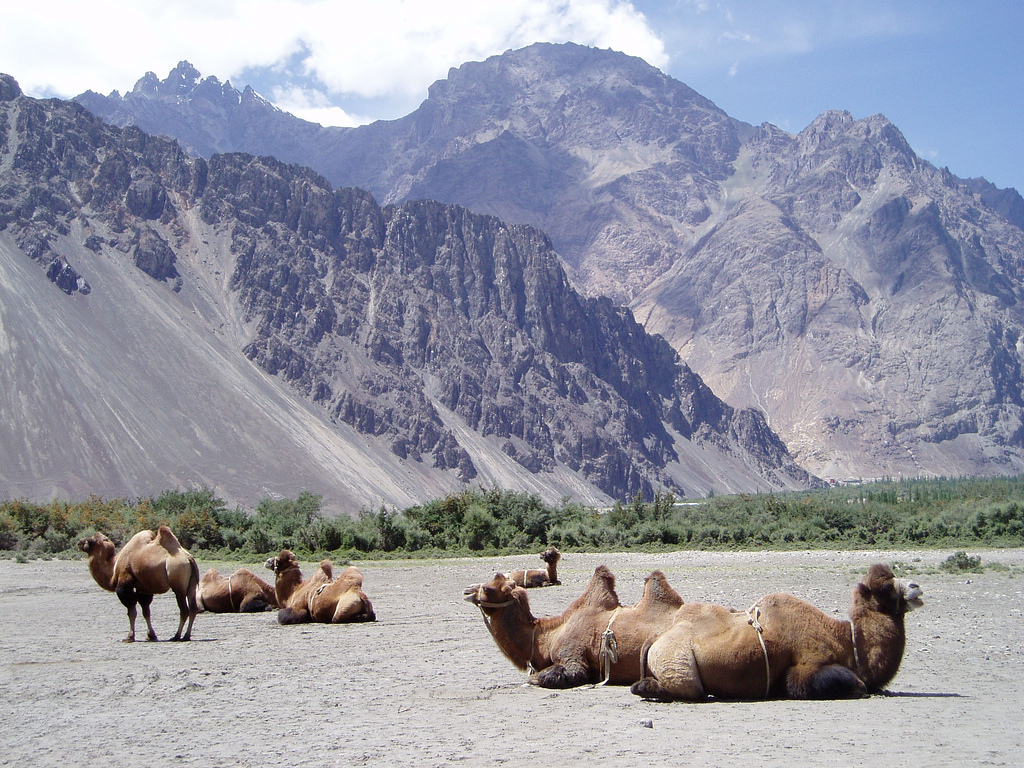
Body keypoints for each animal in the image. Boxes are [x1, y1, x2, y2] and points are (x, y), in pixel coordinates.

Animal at [626, 561, 925, 704]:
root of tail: (656, 638)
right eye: (885, 588)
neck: (847, 642)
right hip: (679, 661)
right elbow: (849, 684)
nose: (916, 587)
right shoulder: (805, 667)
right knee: (690, 690)